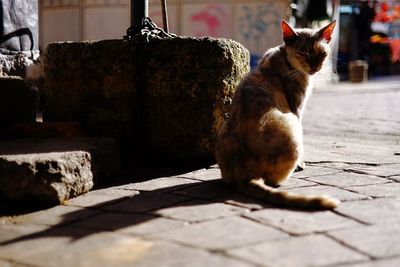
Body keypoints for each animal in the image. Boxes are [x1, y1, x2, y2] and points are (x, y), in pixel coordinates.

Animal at [214, 19, 340, 210]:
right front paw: (301, 165)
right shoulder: (297, 109)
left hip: (224, 126)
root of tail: (244, 175)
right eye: (302, 53)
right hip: (292, 127)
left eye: (322, 54)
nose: (314, 66)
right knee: (272, 181)